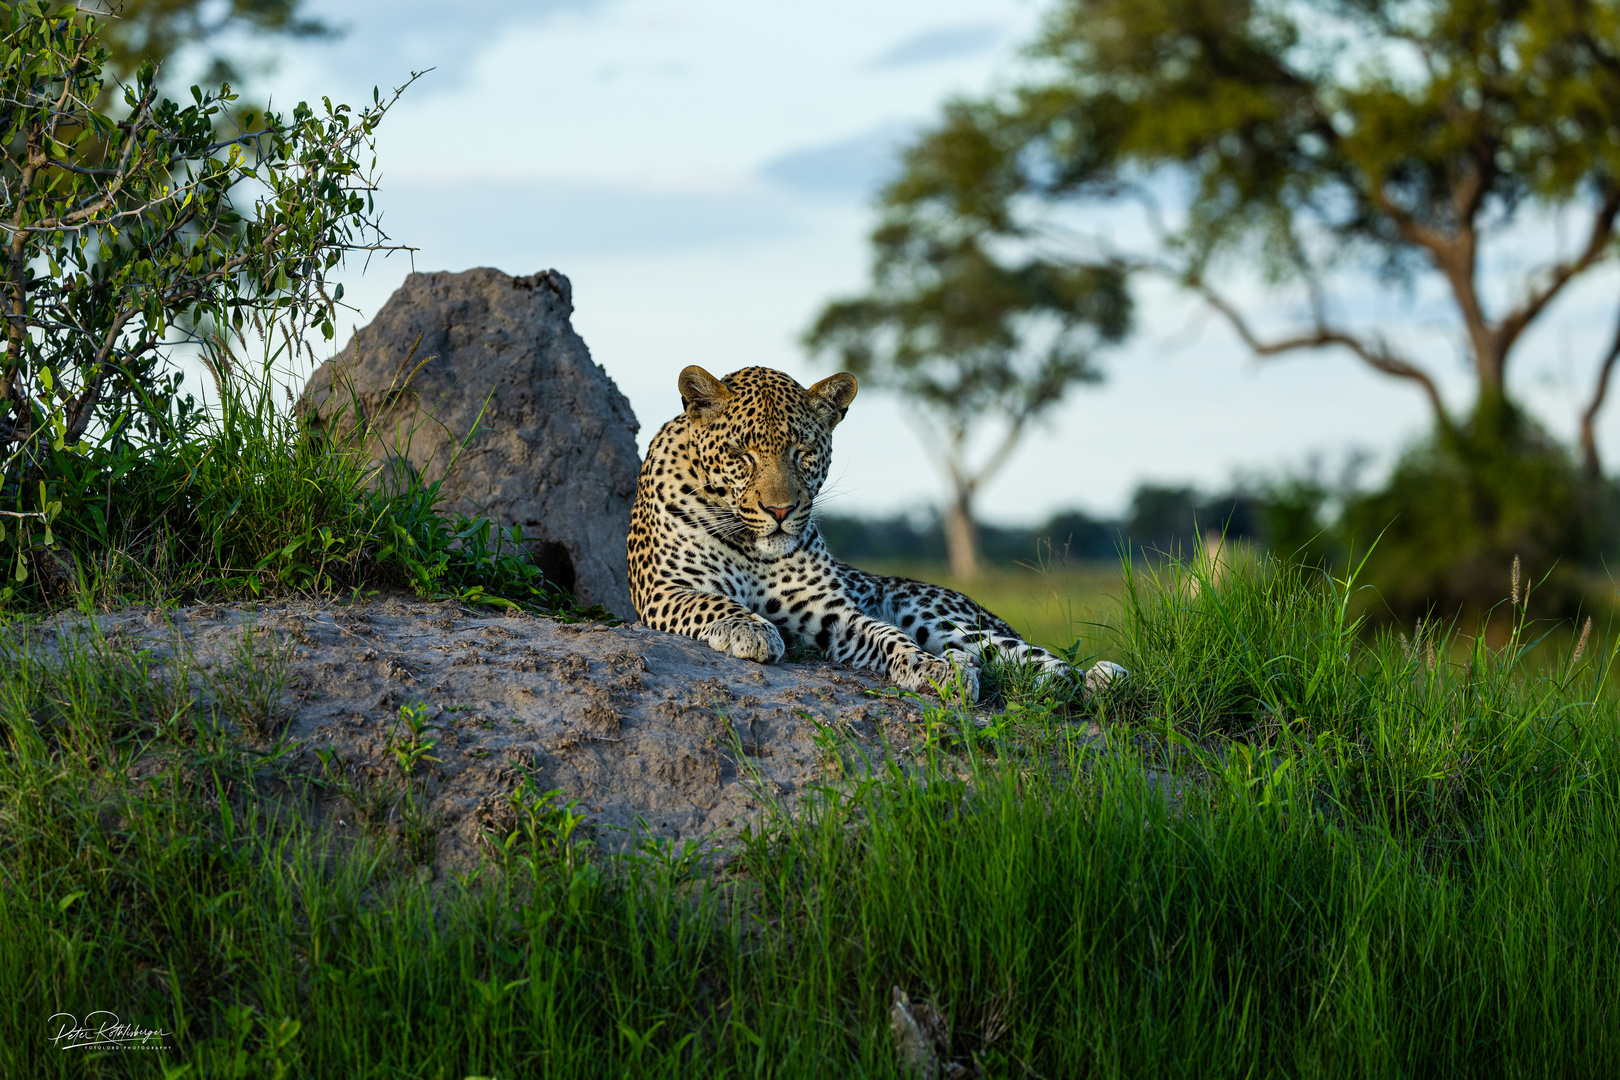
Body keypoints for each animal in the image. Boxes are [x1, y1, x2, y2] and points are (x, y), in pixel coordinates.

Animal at [622, 367, 1127, 705]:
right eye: (740, 453)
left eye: (803, 452)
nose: (780, 510)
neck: (754, 549)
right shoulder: (665, 588)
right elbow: (712, 601)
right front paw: (751, 628)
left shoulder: (829, 612)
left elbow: (886, 635)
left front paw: (929, 668)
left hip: (943, 617)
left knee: (1047, 665)